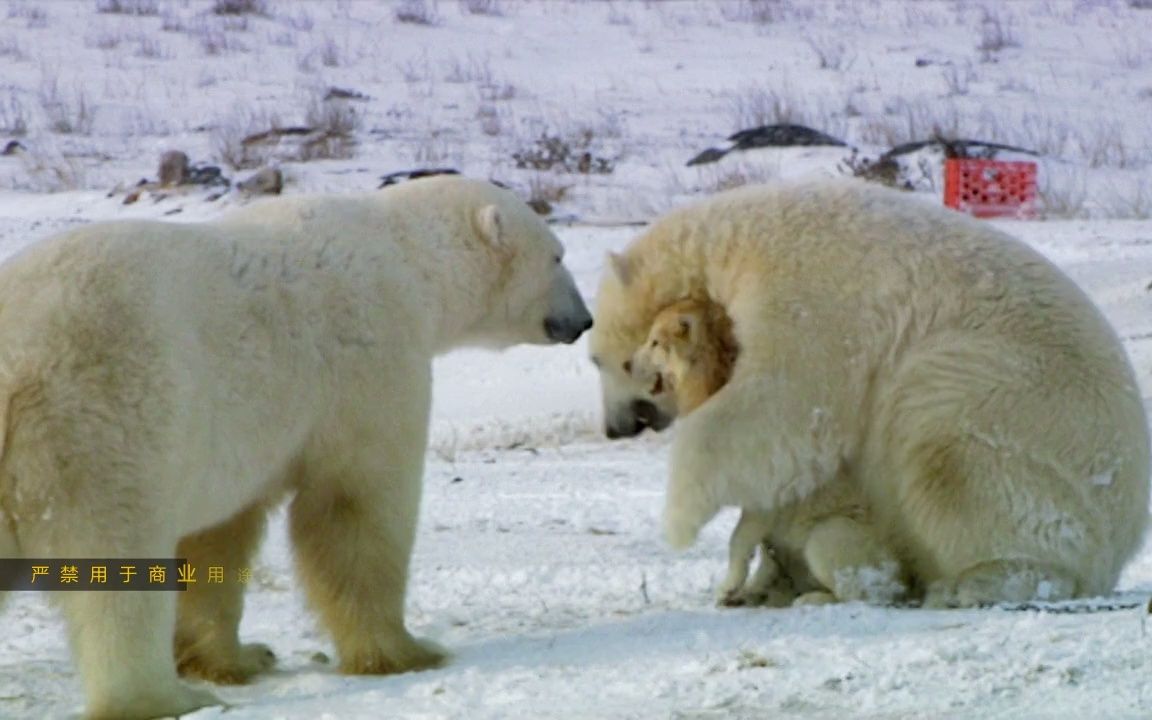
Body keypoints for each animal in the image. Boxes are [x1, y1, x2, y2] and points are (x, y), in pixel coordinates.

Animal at [0, 175, 594, 718]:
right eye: (558, 255)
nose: (585, 319)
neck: (410, 259)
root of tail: (14, 362)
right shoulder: (372, 355)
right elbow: (355, 505)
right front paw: (405, 651)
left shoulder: (238, 437)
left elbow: (220, 536)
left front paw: (239, 657)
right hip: (98, 418)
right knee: (118, 564)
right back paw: (165, 698)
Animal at [631, 294, 898, 603]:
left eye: (654, 342)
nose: (626, 363)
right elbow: (764, 553)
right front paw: (752, 589)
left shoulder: (767, 496)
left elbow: (740, 539)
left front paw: (729, 587)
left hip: (827, 536)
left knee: (859, 591)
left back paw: (812, 598)